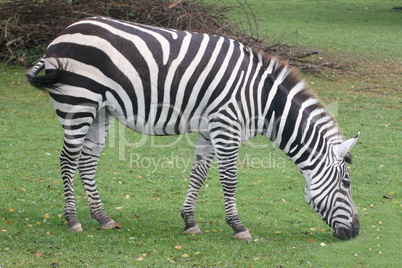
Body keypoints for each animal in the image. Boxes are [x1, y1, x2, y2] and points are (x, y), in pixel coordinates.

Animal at [26, 17, 360, 243]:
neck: (261, 99)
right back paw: (72, 219)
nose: (356, 232)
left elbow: (198, 174)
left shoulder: (211, 129)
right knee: (68, 160)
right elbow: (229, 179)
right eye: (346, 183)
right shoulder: (226, 126)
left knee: (86, 161)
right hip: (77, 102)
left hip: (100, 110)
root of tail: (62, 34)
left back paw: (102, 217)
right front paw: (238, 226)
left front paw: (189, 222)